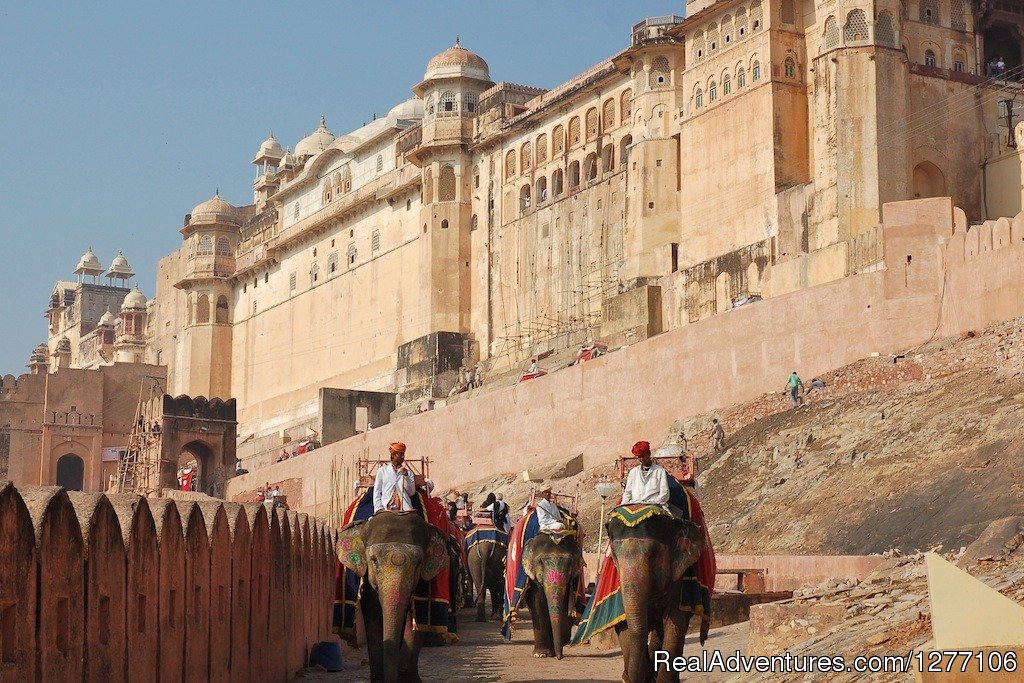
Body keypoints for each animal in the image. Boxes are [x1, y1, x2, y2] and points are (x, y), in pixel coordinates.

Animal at [606, 511, 704, 683]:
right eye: (615, 556)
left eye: (654, 554)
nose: (625, 676)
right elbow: (625, 626)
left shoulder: (678, 578)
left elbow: (675, 623)